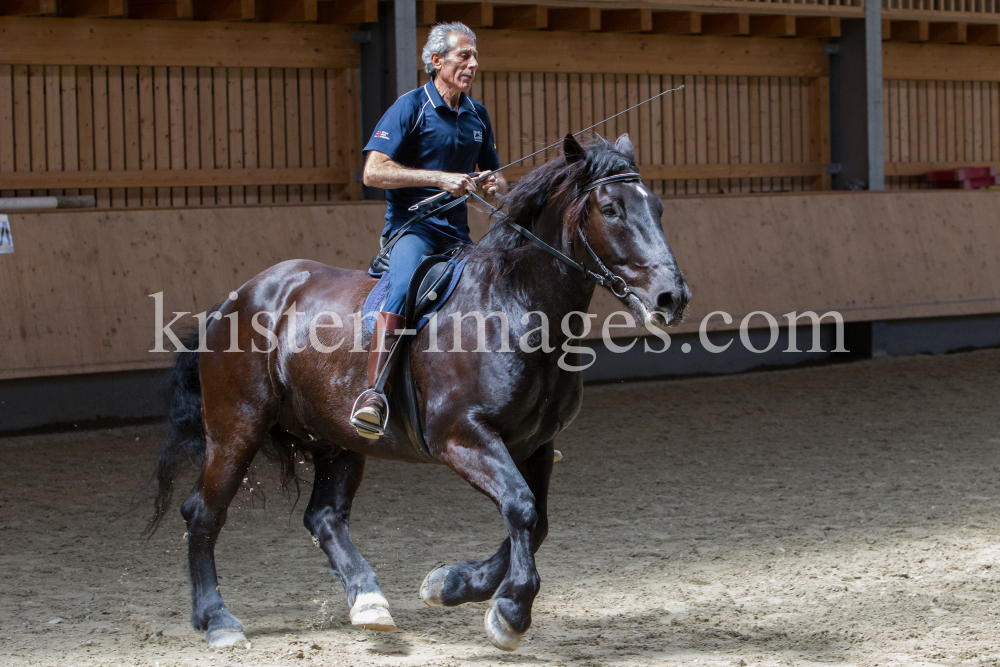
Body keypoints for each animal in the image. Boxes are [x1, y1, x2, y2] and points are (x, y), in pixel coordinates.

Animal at [148, 134, 688, 652]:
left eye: (659, 207)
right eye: (611, 209)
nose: (672, 298)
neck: (513, 306)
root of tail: (236, 299)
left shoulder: (535, 444)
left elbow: (537, 521)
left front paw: (451, 584)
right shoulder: (461, 437)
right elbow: (521, 507)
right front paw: (510, 612)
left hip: (338, 439)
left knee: (325, 517)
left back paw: (368, 602)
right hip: (236, 428)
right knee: (204, 513)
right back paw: (217, 620)